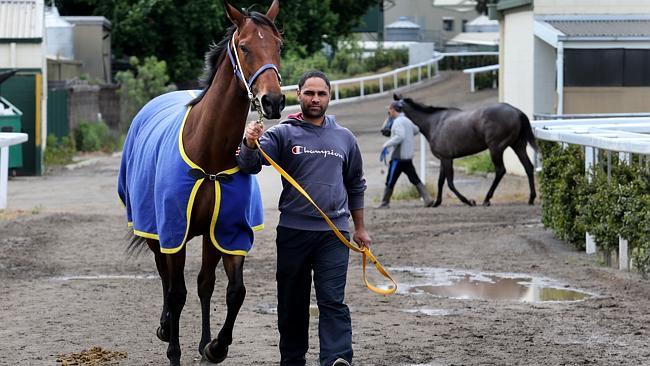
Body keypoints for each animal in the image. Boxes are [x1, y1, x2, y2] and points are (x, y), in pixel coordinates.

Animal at [117, 1, 284, 364]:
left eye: (279, 46)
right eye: (245, 46)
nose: (273, 101)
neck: (210, 156)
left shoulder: (227, 230)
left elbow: (233, 291)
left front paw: (214, 346)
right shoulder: (172, 229)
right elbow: (176, 292)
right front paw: (174, 350)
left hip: (208, 237)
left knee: (204, 283)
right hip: (153, 229)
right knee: (165, 277)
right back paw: (166, 327)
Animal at [392, 93, 536, 207]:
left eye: (390, 111)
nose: (387, 130)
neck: (434, 123)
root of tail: (516, 111)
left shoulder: (447, 159)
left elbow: (450, 183)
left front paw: (468, 201)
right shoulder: (443, 159)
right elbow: (440, 181)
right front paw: (437, 202)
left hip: (496, 148)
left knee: (500, 170)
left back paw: (487, 199)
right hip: (518, 146)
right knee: (528, 167)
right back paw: (531, 198)